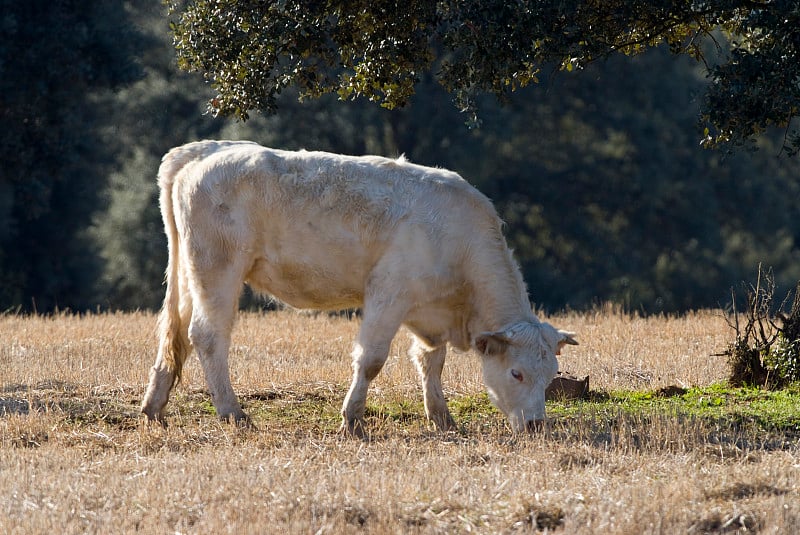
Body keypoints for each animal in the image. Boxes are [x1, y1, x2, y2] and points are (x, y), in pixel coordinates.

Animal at [138, 140, 576, 434]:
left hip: (188, 274)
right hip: (219, 268)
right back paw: (233, 413)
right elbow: (372, 359)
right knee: (208, 335)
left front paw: (442, 417)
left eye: (551, 375)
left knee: (175, 333)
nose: (537, 425)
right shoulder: (389, 291)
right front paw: (352, 420)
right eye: (517, 373)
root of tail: (203, 150)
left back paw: (154, 408)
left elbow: (431, 361)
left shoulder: (427, 312)